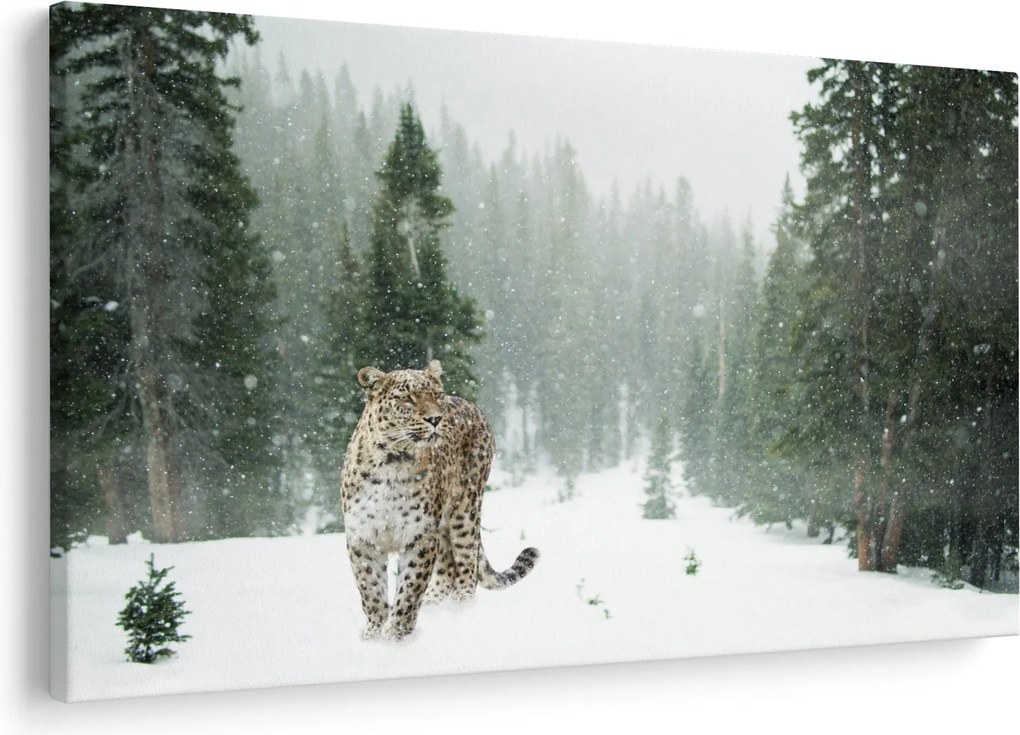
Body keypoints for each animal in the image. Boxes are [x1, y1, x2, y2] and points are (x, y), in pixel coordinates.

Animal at [340, 359, 539, 641]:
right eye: (407, 398)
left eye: (436, 395)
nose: (435, 419)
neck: (393, 462)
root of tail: (472, 405)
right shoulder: (363, 536)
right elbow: (370, 589)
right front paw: (374, 633)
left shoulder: (419, 535)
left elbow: (409, 588)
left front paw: (396, 634)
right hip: (443, 524)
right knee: (447, 564)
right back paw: (434, 602)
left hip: (465, 509)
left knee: (466, 560)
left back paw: (461, 606)